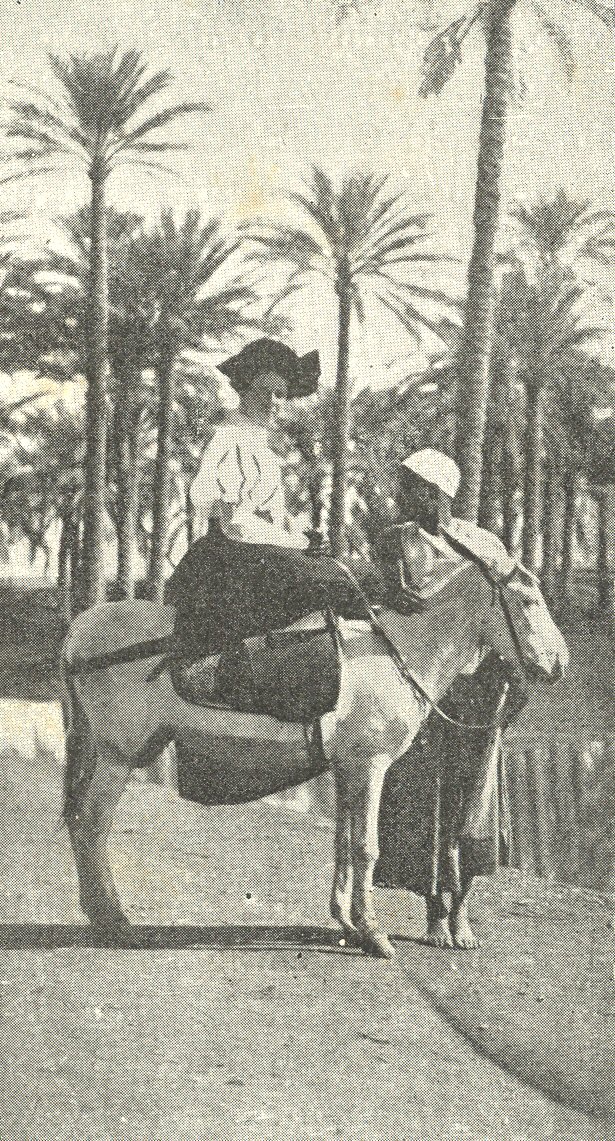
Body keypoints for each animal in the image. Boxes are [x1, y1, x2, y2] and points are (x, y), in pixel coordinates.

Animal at [59, 556, 568, 958]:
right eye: (528, 601)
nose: (560, 663)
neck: (396, 653)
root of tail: (79, 632)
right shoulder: (371, 765)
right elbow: (367, 848)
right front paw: (374, 934)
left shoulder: (347, 769)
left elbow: (343, 844)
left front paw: (346, 921)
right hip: (117, 757)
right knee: (93, 825)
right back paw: (114, 922)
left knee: (80, 822)